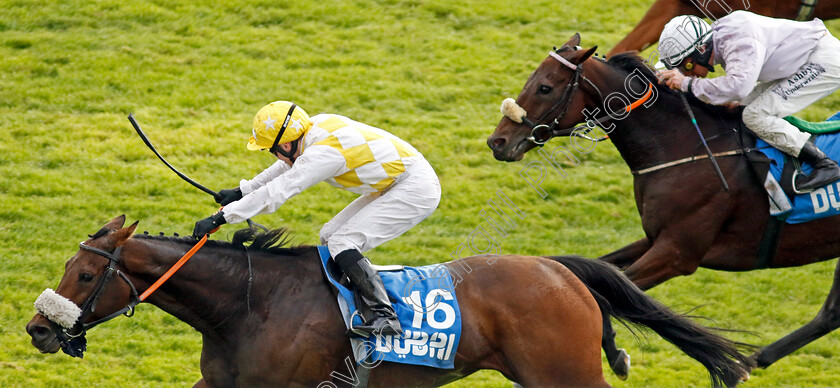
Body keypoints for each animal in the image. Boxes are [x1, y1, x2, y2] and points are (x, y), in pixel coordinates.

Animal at [486, 33, 840, 378]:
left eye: (545, 87)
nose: (497, 142)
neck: (685, 147)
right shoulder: (655, 238)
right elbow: (599, 276)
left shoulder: (676, 253)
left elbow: (609, 292)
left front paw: (616, 355)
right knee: (830, 314)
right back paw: (750, 362)